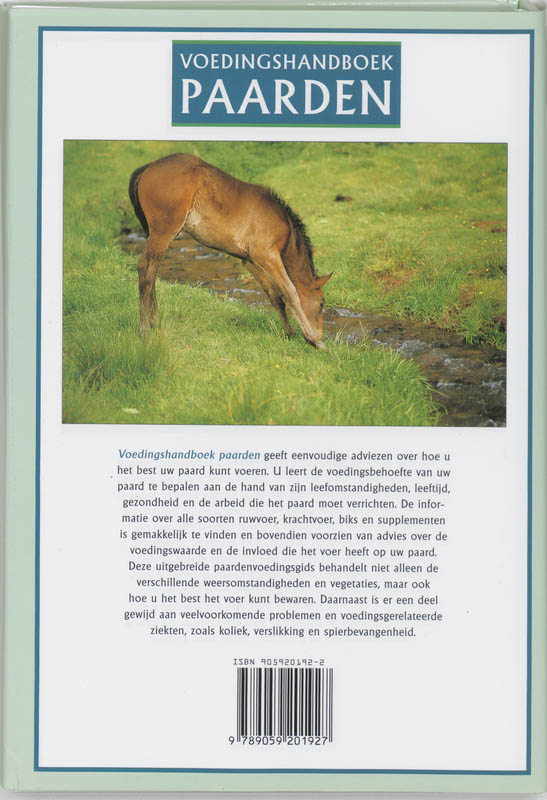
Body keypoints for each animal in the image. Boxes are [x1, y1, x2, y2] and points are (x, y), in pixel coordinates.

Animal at [128, 154, 332, 348]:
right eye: (322, 302)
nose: (321, 333)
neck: (284, 227)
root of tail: (148, 167)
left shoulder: (251, 262)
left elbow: (275, 297)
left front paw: (290, 333)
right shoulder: (268, 256)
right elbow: (290, 292)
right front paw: (313, 339)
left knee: (147, 270)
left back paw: (155, 323)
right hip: (164, 233)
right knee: (147, 273)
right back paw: (145, 330)